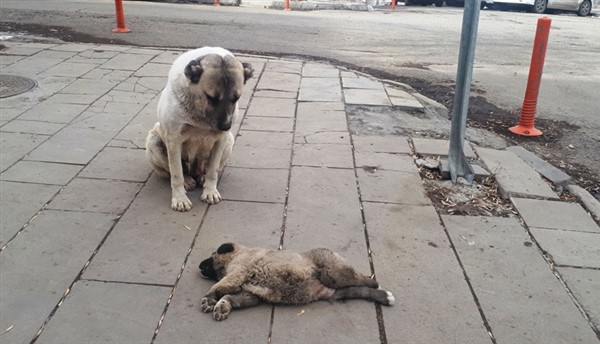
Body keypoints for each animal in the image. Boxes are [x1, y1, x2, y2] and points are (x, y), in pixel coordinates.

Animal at [145, 47, 253, 211]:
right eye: (211, 98)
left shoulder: (221, 140)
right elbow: (176, 174)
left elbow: (213, 170)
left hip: (229, 142)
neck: (200, 115)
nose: (226, 126)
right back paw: (187, 180)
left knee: (206, 168)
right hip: (154, 140)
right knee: (176, 170)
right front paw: (179, 198)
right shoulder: (173, 140)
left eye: (236, 98)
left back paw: (201, 176)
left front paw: (210, 191)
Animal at [198, 243, 394, 322]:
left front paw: (209, 299)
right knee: (358, 290)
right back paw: (384, 296)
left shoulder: (238, 272)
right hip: (337, 291)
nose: (199, 265)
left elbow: (218, 286)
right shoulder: (250, 294)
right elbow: (230, 296)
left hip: (334, 274)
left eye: (212, 256)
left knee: (367, 280)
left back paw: (379, 287)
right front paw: (222, 306)